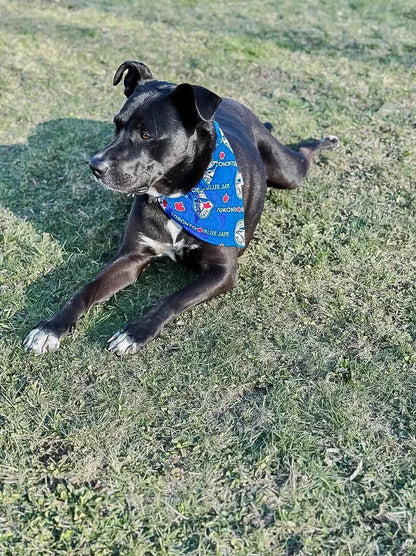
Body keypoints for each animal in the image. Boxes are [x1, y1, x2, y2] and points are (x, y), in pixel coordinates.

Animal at [23, 60, 338, 356]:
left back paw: (325, 140)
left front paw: (134, 332)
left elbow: (173, 299)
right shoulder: (131, 257)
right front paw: (50, 327)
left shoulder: (222, 272)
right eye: (116, 125)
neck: (179, 195)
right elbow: (85, 289)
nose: (94, 166)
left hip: (288, 172)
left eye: (146, 135)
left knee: (304, 155)